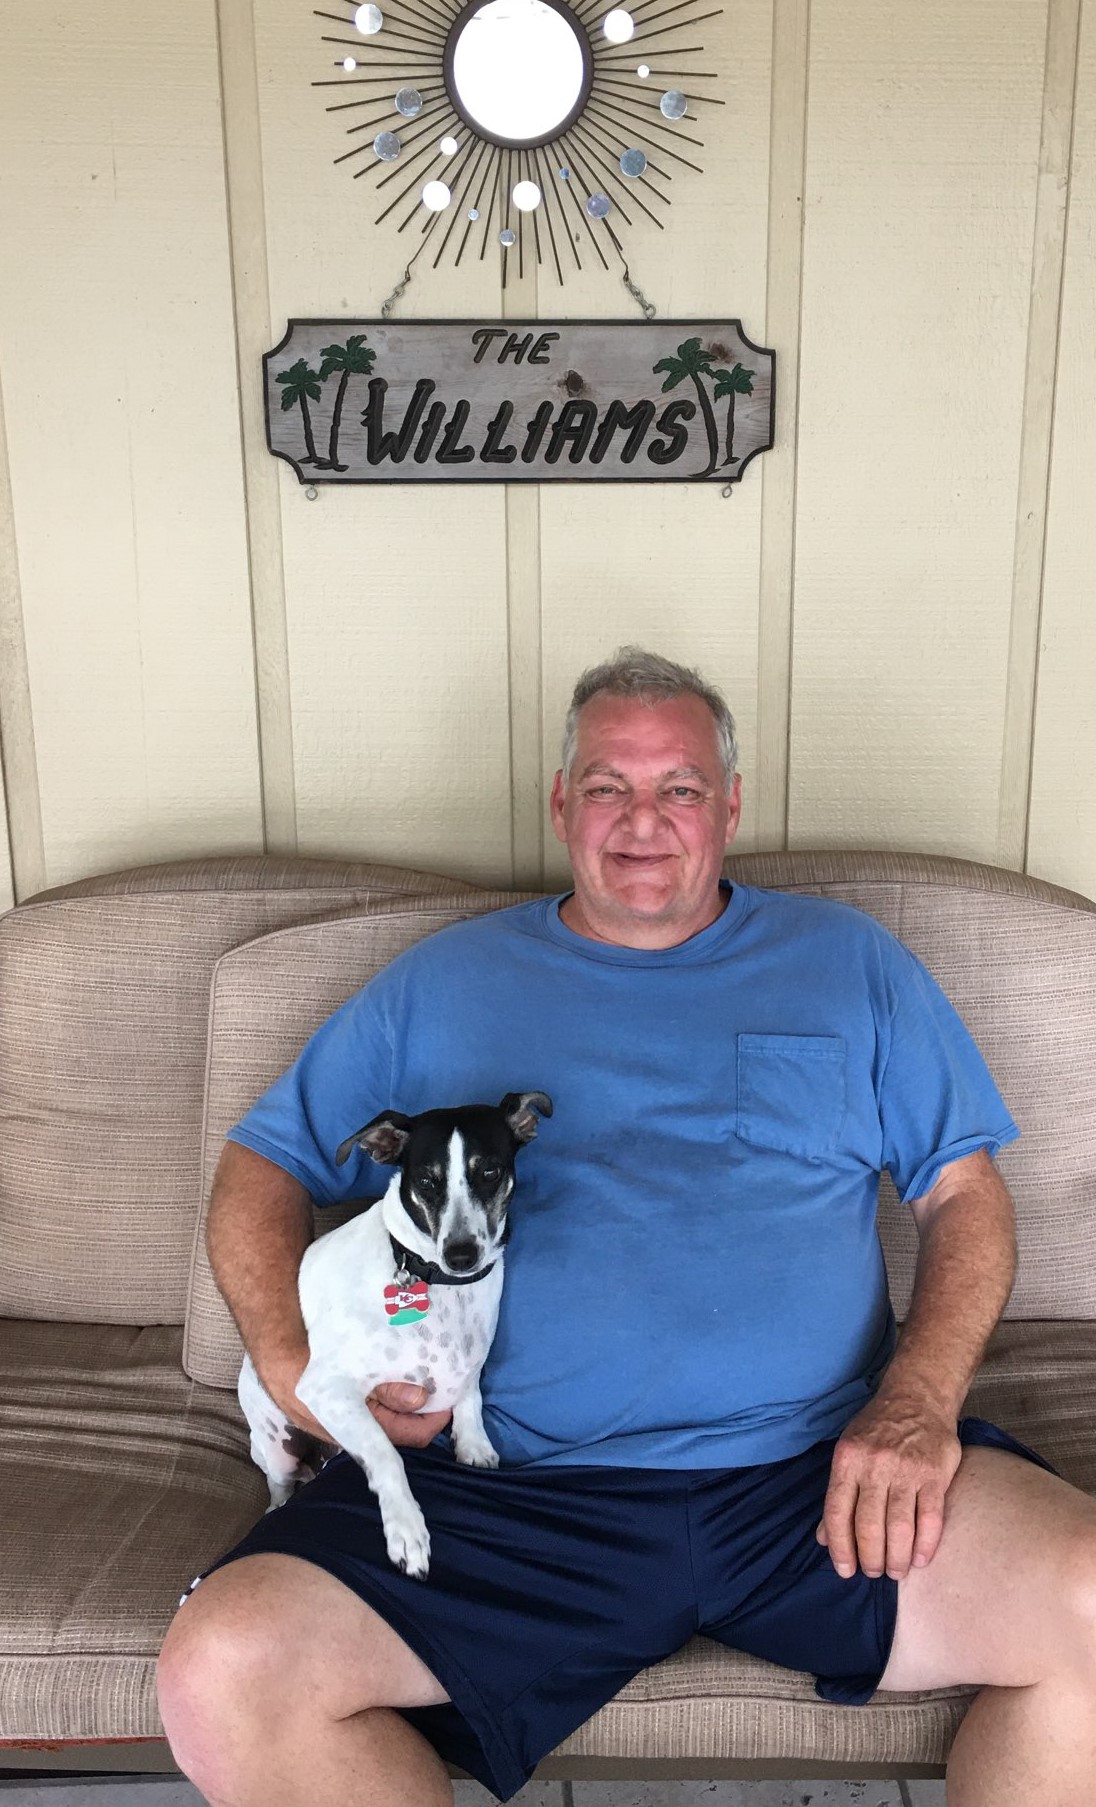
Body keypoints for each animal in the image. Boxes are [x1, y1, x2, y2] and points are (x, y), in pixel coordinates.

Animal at [238, 1084, 548, 1582]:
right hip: (276, 1448)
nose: (461, 1255)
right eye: (425, 1181)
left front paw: (474, 1444)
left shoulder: (468, 1366)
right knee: (278, 1487)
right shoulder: (327, 1389)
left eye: (489, 1171)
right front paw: (406, 1528)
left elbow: (470, 1397)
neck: (438, 1285)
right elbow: (387, 1453)